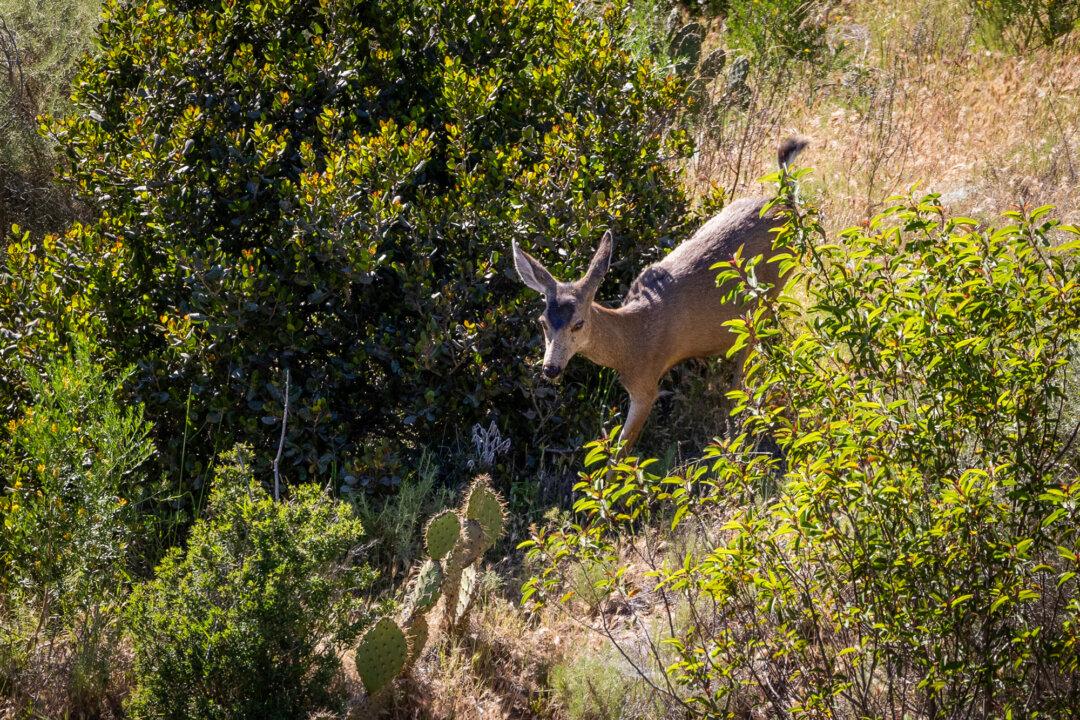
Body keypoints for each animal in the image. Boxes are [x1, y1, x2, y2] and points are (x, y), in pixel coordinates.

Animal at [511, 137, 807, 450]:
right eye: (542, 322)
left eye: (578, 323)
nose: (550, 369)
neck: (631, 339)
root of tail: (785, 203)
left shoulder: (646, 381)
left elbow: (622, 449)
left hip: (767, 296)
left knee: (746, 363)